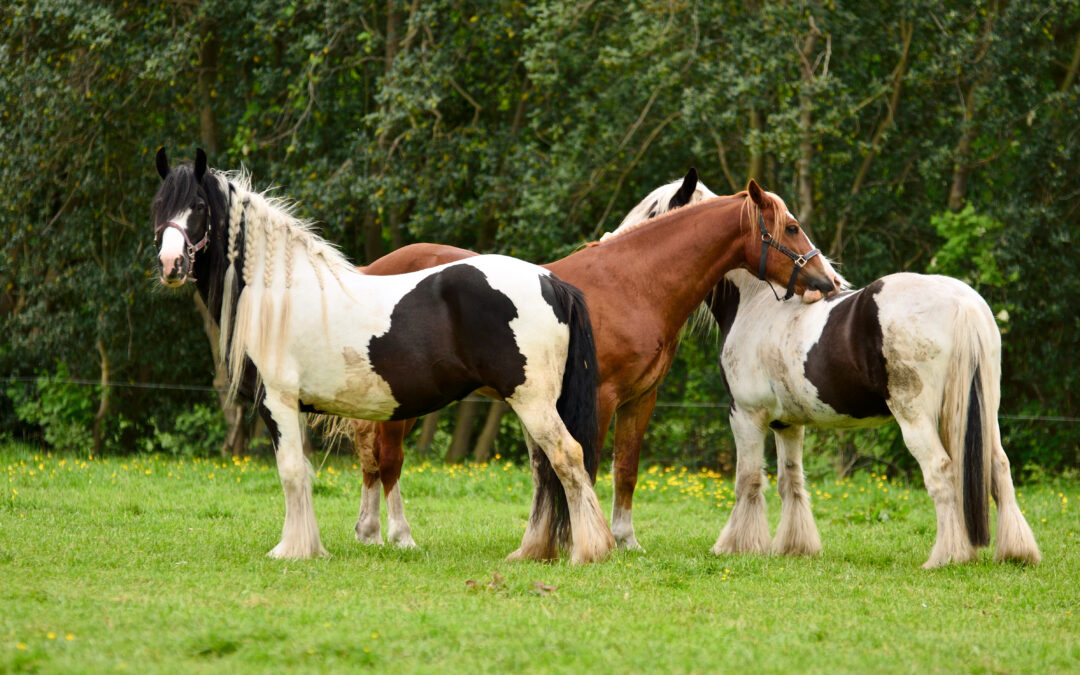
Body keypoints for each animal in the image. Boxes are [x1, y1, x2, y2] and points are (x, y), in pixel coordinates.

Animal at [151, 148, 614, 563]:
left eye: (197, 206)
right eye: (158, 206)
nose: (171, 264)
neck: (278, 292)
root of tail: (549, 280)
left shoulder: (277, 403)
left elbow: (291, 472)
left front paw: (292, 551)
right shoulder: (294, 407)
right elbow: (303, 472)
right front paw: (310, 546)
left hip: (533, 401)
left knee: (567, 457)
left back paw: (590, 550)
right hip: (529, 402)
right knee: (543, 469)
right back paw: (531, 551)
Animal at [345, 169, 837, 557]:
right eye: (792, 227)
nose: (827, 281)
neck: (632, 283)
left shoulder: (640, 399)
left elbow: (625, 469)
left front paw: (623, 539)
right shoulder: (599, 397)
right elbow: (588, 463)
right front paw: (578, 539)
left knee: (372, 457)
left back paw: (369, 532)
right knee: (389, 459)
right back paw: (400, 536)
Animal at [604, 173, 1041, 568]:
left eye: (654, 212)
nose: (611, 241)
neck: (758, 302)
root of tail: (962, 302)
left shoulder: (746, 415)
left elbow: (749, 480)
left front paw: (737, 545)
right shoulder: (787, 423)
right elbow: (790, 480)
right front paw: (794, 546)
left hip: (916, 417)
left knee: (941, 471)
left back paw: (947, 556)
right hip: (981, 411)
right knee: (998, 468)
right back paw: (1015, 552)